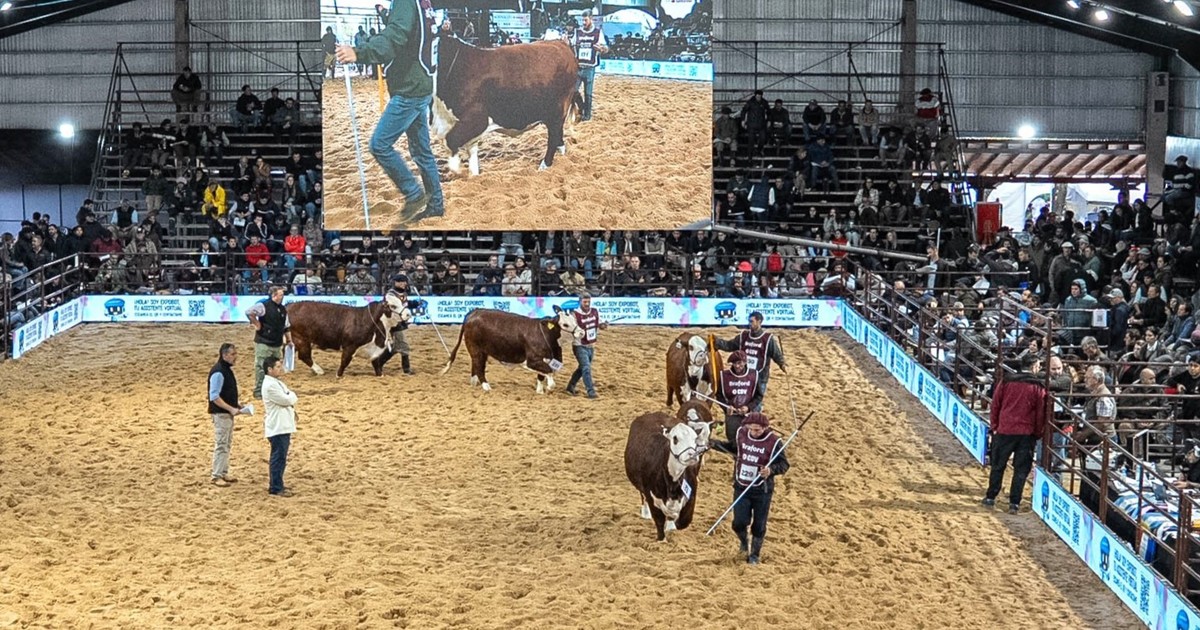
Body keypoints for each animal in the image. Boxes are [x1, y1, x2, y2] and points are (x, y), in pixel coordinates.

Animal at [430, 33, 583, 176]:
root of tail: (560, 43)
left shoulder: (477, 119)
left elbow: (450, 140)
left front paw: (456, 169)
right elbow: (471, 152)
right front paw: (474, 175)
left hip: (557, 110)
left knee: (553, 137)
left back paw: (544, 166)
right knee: (558, 136)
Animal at [440, 306, 583, 393]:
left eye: (575, 320)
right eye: (565, 324)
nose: (581, 332)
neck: (546, 335)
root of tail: (473, 312)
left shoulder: (546, 359)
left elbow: (542, 375)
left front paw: (540, 391)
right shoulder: (533, 360)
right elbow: (548, 372)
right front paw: (549, 386)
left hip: (482, 351)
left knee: (476, 366)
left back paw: (474, 384)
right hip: (476, 349)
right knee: (479, 368)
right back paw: (487, 387)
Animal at [624, 412, 712, 541]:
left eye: (695, 439)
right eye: (675, 439)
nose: (692, 455)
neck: (673, 483)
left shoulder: (691, 494)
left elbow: (684, 521)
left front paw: (672, 527)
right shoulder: (651, 495)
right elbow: (659, 521)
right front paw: (662, 540)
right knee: (642, 496)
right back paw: (645, 513)